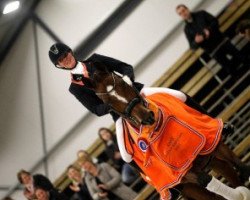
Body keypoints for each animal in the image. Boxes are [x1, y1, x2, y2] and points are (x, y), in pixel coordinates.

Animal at [81, 63, 249, 200]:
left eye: (122, 83)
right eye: (108, 103)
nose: (148, 117)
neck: (158, 127)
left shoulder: (211, 139)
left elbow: (239, 165)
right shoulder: (181, 173)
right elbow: (208, 182)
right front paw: (240, 194)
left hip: (211, 159)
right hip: (189, 186)